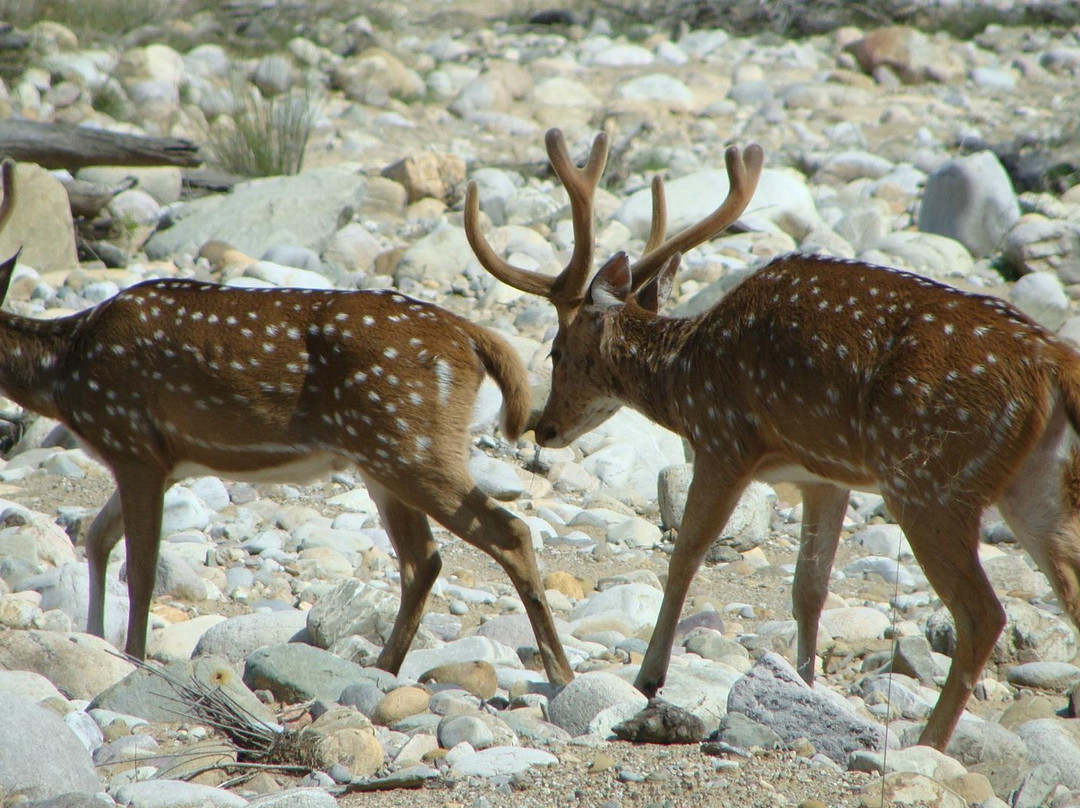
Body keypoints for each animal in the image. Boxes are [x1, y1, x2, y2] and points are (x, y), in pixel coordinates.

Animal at [0, 156, 574, 682]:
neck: (63, 372)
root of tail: (474, 337)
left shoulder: (132, 443)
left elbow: (138, 569)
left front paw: (134, 661)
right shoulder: (158, 460)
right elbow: (97, 538)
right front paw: (95, 641)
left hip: (410, 443)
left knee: (508, 532)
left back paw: (560, 674)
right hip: (384, 456)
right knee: (424, 559)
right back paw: (384, 669)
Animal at [468, 128, 1080, 751]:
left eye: (555, 351)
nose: (543, 427)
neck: (685, 375)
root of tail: (1053, 364)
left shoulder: (723, 439)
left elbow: (685, 554)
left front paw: (648, 677)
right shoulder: (824, 476)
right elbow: (809, 588)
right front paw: (804, 688)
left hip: (929, 480)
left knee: (983, 614)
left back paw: (927, 743)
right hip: (1034, 489)